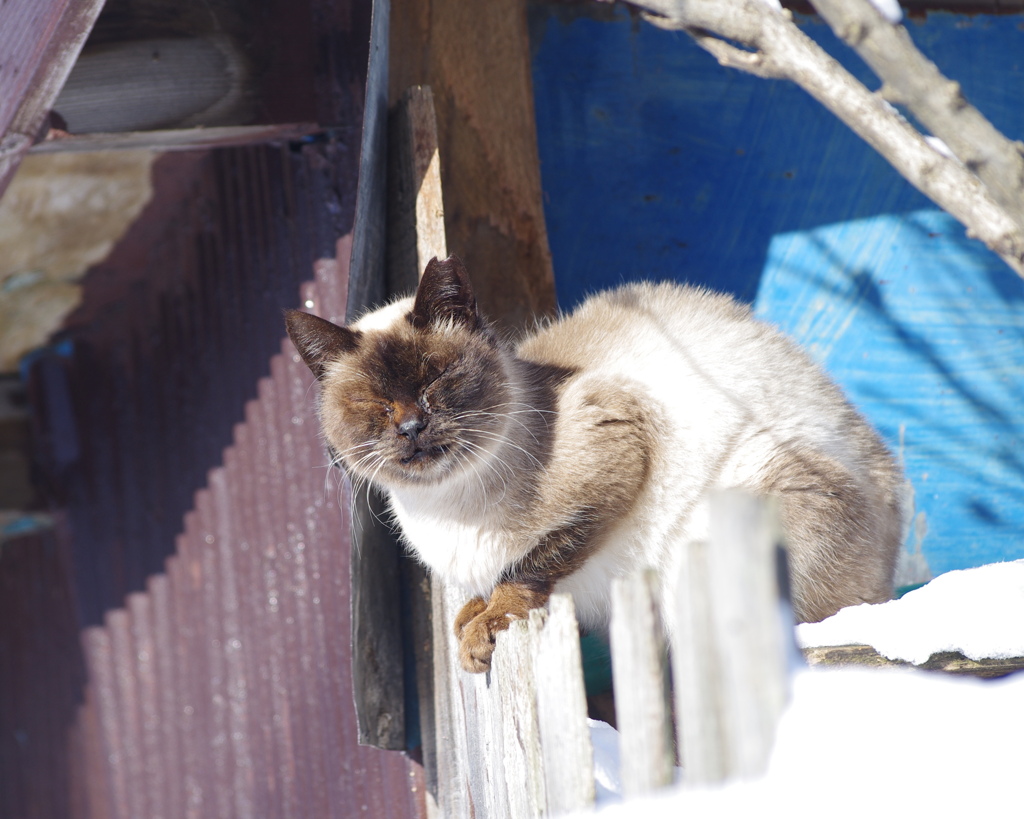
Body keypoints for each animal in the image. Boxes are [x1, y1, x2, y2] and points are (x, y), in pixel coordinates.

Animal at [284, 253, 901, 671]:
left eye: (437, 380)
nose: (411, 428)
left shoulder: (617, 449)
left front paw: (484, 625)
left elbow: (526, 568)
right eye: (374, 404)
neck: (443, 505)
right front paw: (468, 619)